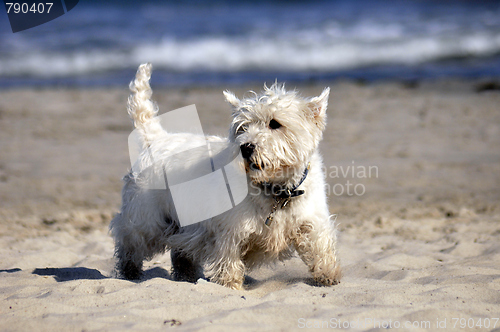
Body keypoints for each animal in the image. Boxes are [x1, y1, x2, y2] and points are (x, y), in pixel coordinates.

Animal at [110, 63, 342, 290]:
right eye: (242, 127)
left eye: (275, 123)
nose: (246, 147)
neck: (276, 190)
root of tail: (157, 139)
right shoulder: (230, 230)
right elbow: (228, 259)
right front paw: (230, 284)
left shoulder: (312, 219)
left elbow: (320, 245)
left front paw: (328, 274)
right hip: (147, 217)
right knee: (129, 239)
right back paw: (130, 271)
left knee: (181, 252)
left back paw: (186, 276)